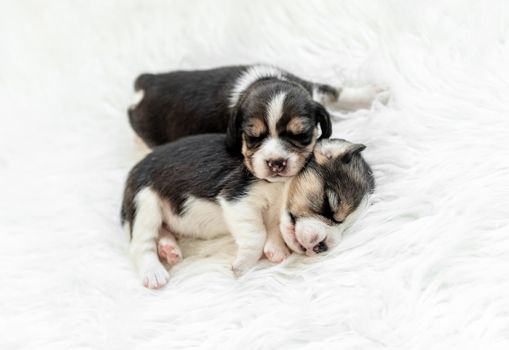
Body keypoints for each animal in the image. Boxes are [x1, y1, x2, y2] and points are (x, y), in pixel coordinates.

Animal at [121, 133, 372, 288]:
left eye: (345, 229)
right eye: (329, 206)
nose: (323, 247)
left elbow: (274, 228)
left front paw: (276, 249)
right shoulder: (238, 198)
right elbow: (256, 234)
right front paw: (243, 264)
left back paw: (169, 248)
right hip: (145, 202)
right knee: (140, 244)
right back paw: (154, 272)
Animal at [129, 64, 382, 182]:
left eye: (301, 135)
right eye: (252, 137)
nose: (276, 163)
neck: (262, 81)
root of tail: (148, 81)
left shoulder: (312, 89)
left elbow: (336, 92)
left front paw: (376, 92)